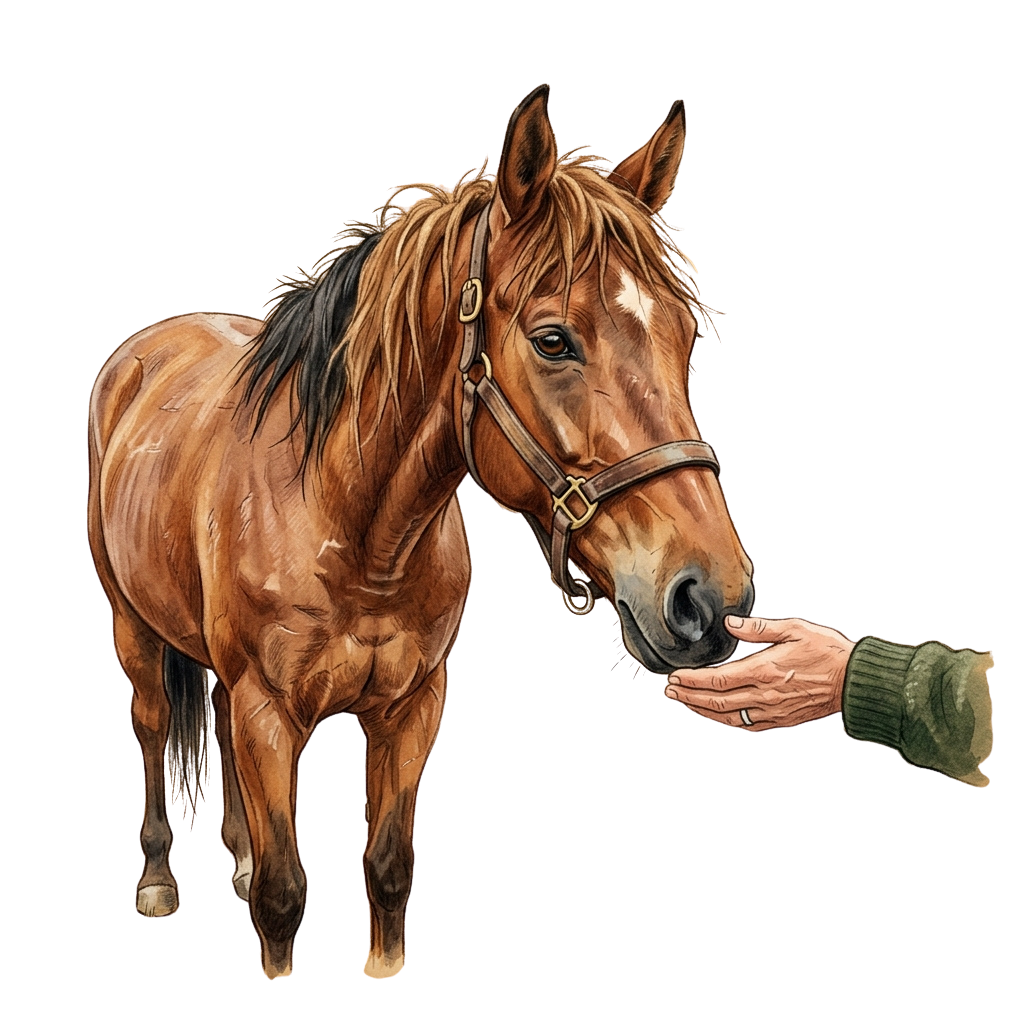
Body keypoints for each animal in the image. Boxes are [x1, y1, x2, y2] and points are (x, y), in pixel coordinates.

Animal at [87, 84, 754, 980]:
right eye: (553, 340)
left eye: (682, 335)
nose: (709, 599)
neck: (356, 530)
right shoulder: (269, 714)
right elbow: (284, 897)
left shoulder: (411, 710)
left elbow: (388, 868)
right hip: (134, 631)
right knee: (155, 724)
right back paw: (159, 878)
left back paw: (237, 856)